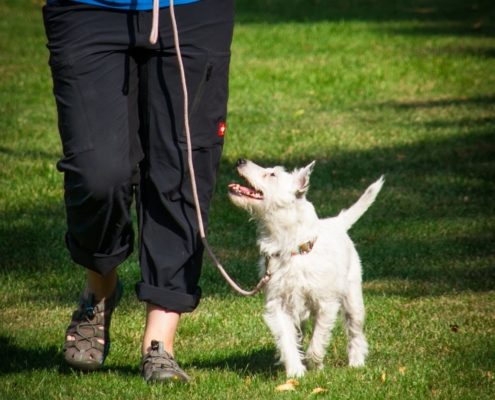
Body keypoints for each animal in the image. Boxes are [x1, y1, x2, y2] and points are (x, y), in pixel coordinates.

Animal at [227, 158, 386, 376]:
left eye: (272, 174)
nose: (240, 160)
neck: (292, 249)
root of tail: (336, 223)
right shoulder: (278, 305)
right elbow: (287, 340)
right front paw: (295, 372)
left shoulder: (327, 304)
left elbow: (318, 338)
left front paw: (315, 364)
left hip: (353, 299)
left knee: (355, 331)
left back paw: (356, 362)